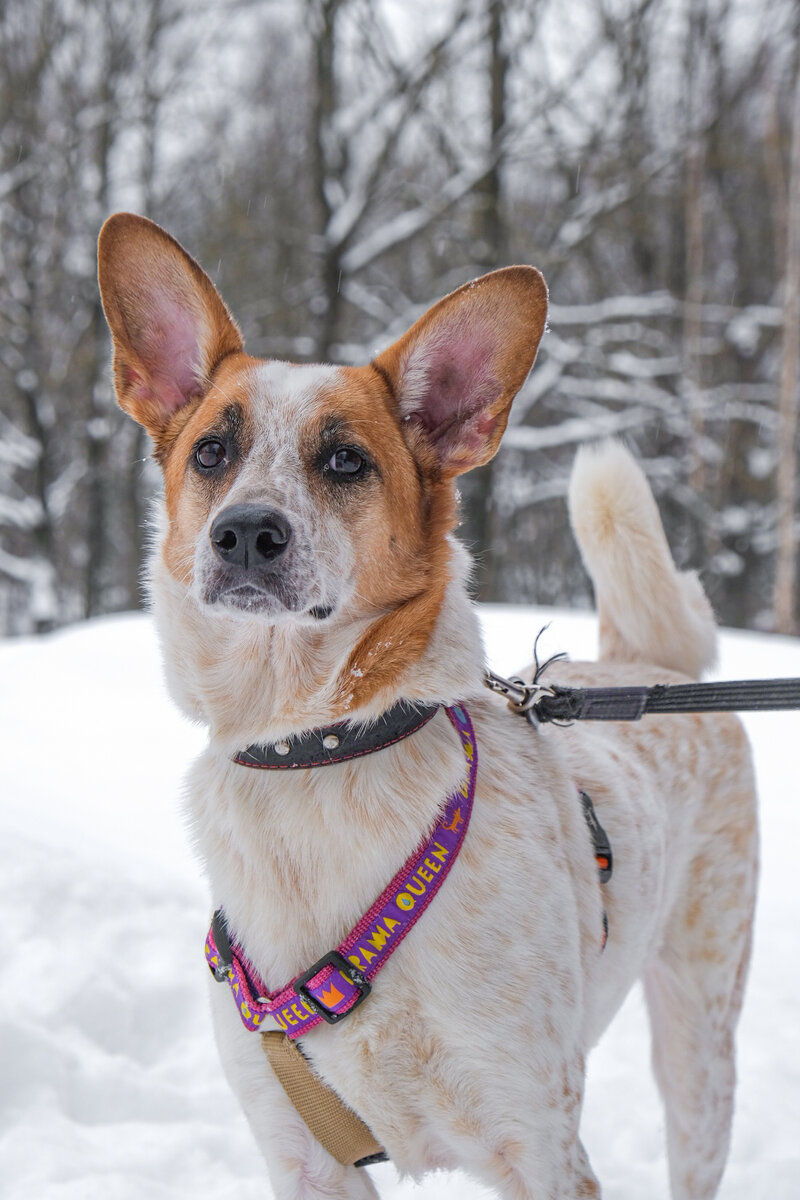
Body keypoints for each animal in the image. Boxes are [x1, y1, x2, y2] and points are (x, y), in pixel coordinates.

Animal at [97, 216, 753, 1200]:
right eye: (212, 451)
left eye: (345, 460)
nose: (245, 533)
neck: (315, 747)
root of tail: (648, 662)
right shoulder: (303, 1160)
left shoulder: (542, 1149)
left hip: (700, 1041)